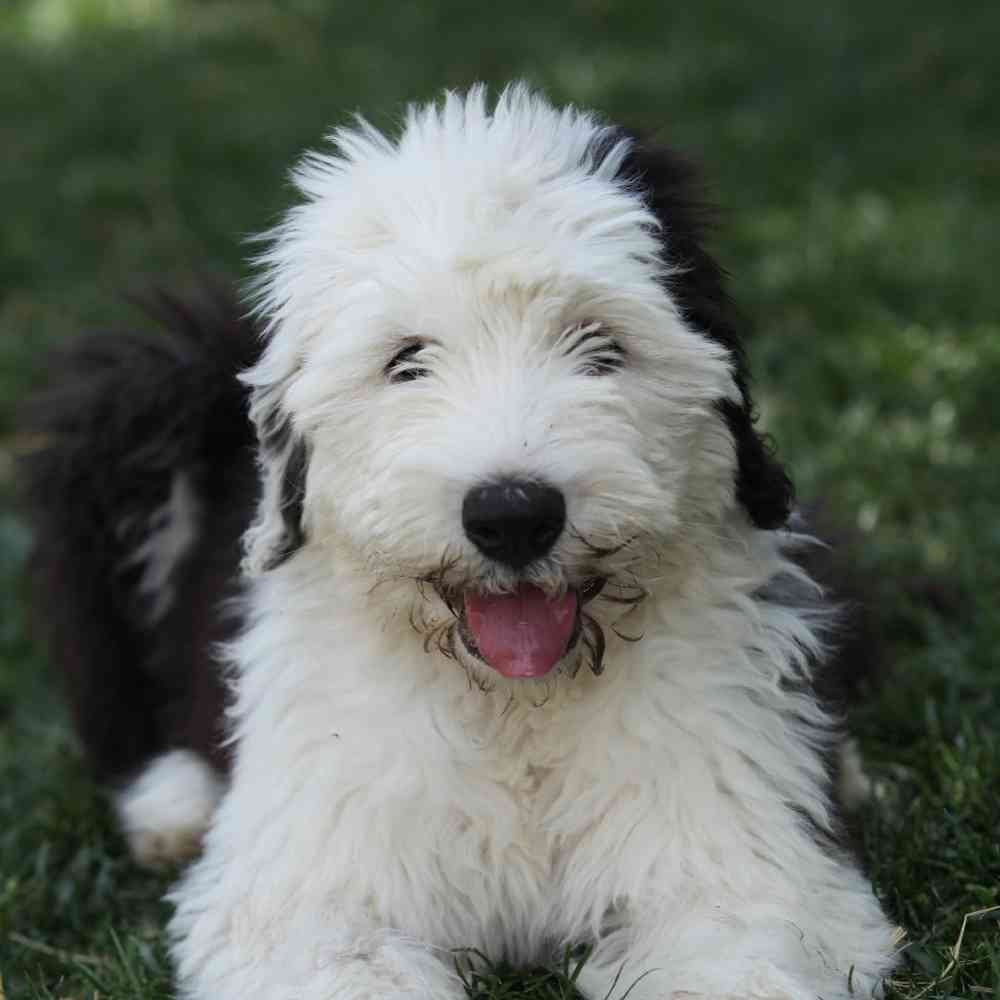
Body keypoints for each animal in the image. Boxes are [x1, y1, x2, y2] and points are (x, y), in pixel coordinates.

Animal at [23, 86, 900, 1000]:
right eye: (407, 360)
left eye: (599, 344)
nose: (513, 514)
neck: (514, 704)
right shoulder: (314, 889)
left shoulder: (735, 855)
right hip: (123, 411)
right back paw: (170, 805)